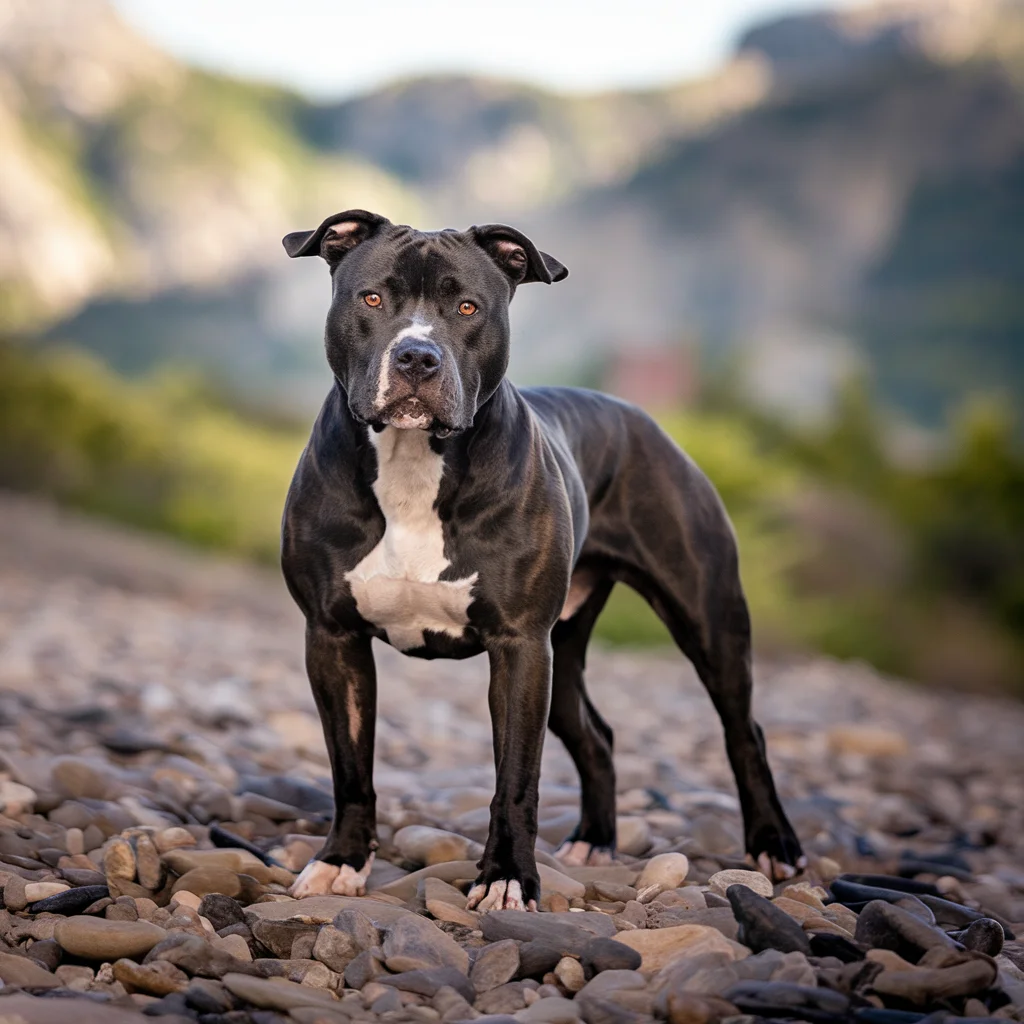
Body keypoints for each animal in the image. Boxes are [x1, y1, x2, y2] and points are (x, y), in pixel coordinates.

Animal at [282, 209, 806, 913]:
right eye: (371, 299)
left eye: (468, 307)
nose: (418, 355)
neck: (413, 464)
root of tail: (644, 419)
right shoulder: (333, 638)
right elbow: (349, 765)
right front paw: (342, 860)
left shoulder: (520, 648)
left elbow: (516, 777)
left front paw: (506, 877)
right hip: (566, 649)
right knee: (596, 736)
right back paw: (594, 841)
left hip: (708, 623)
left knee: (744, 733)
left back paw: (774, 846)